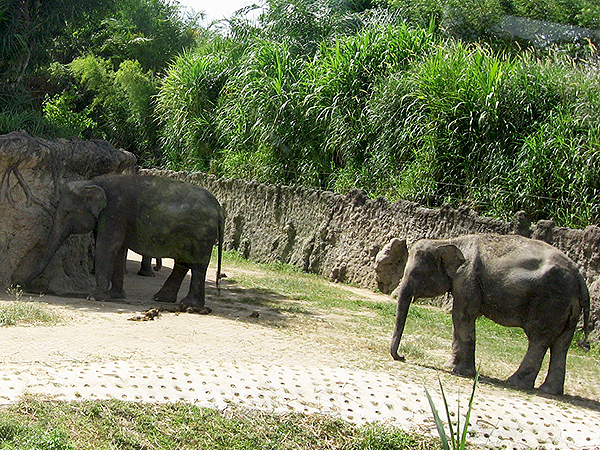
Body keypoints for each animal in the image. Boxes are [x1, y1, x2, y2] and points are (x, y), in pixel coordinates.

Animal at [22, 173, 225, 312]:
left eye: (66, 212)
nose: (24, 287)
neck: (94, 182)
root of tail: (219, 208)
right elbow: (118, 250)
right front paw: (115, 296)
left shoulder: (115, 212)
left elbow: (107, 246)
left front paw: (94, 298)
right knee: (182, 263)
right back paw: (161, 299)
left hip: (201, 234)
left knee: (197, 265)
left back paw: (189, 306)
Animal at [390, 234, 592, 396]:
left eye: (416, 273)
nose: (402, 357)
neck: (447, 241)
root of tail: (580, 278)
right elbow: (458, 319)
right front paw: (450, 365)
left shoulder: (467, 280)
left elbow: (462, 316)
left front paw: (461, 372)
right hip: (568, 308)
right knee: (561, 345)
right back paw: (549, 390)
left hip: (550, 301)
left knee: (539, 340)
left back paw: (515, 382)